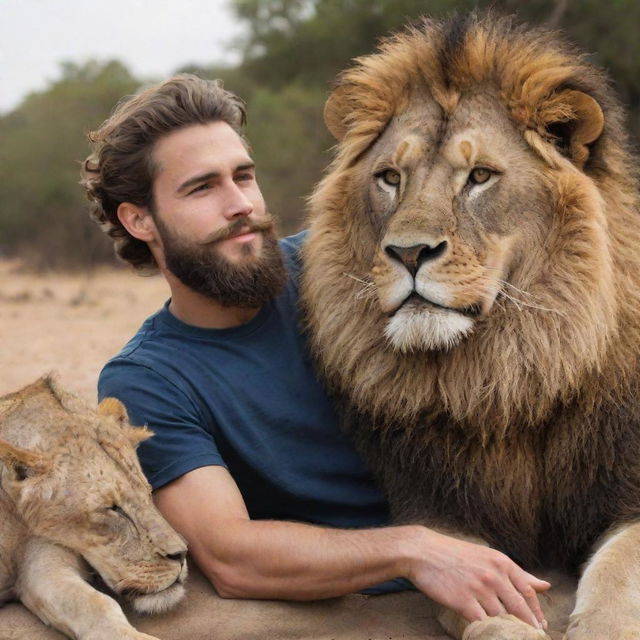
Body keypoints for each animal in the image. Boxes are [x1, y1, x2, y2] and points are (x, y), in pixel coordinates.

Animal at [304, 10, 640, 640]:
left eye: (480, 176)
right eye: (390, 177)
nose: (408, 252)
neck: (508, 375)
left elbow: (615, 583)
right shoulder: (441, 515)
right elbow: (483, 605)